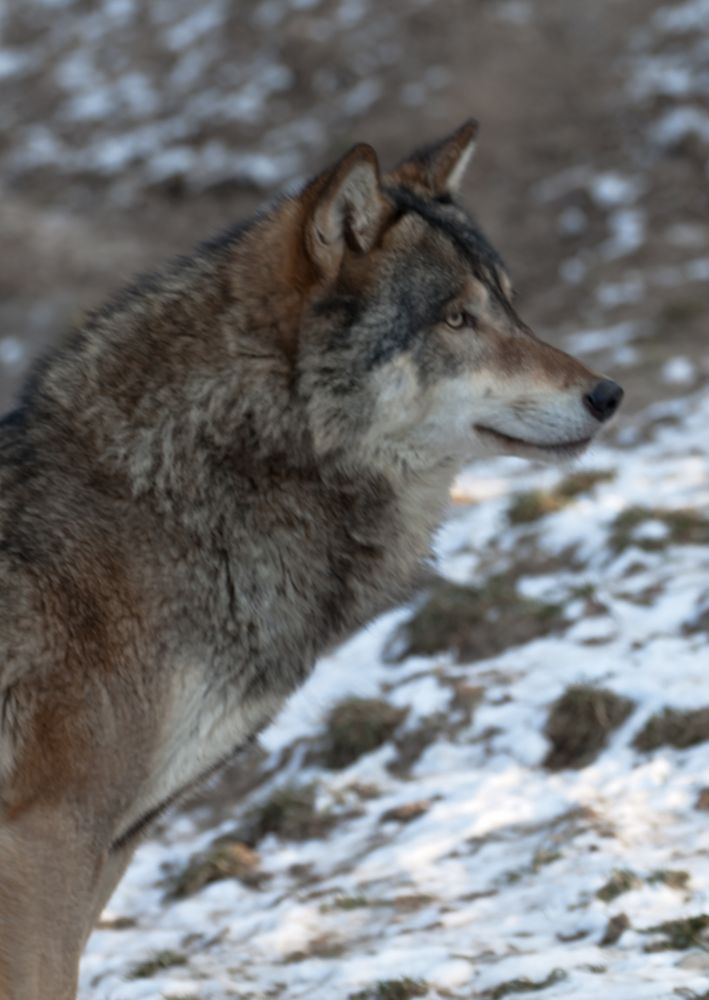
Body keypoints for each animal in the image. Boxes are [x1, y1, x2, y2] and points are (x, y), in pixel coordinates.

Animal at [0, 121, 620, 996]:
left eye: (507, 303)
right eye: (455, 319)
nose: (607, 395)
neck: (173, 499)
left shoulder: (110, 843)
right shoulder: (49, 834)